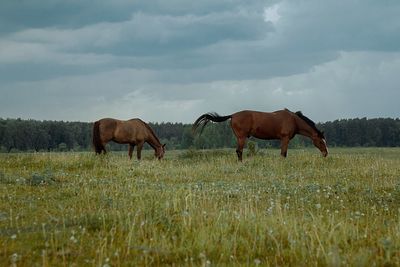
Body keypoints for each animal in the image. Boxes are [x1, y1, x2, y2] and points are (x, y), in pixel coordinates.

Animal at [193, 109, 328, 161]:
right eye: (321, 141)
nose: (326, 154)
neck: (293, 120)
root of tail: (232, 115)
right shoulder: (285, 139)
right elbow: (283, 154)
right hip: (241, 138)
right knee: (239, 151)